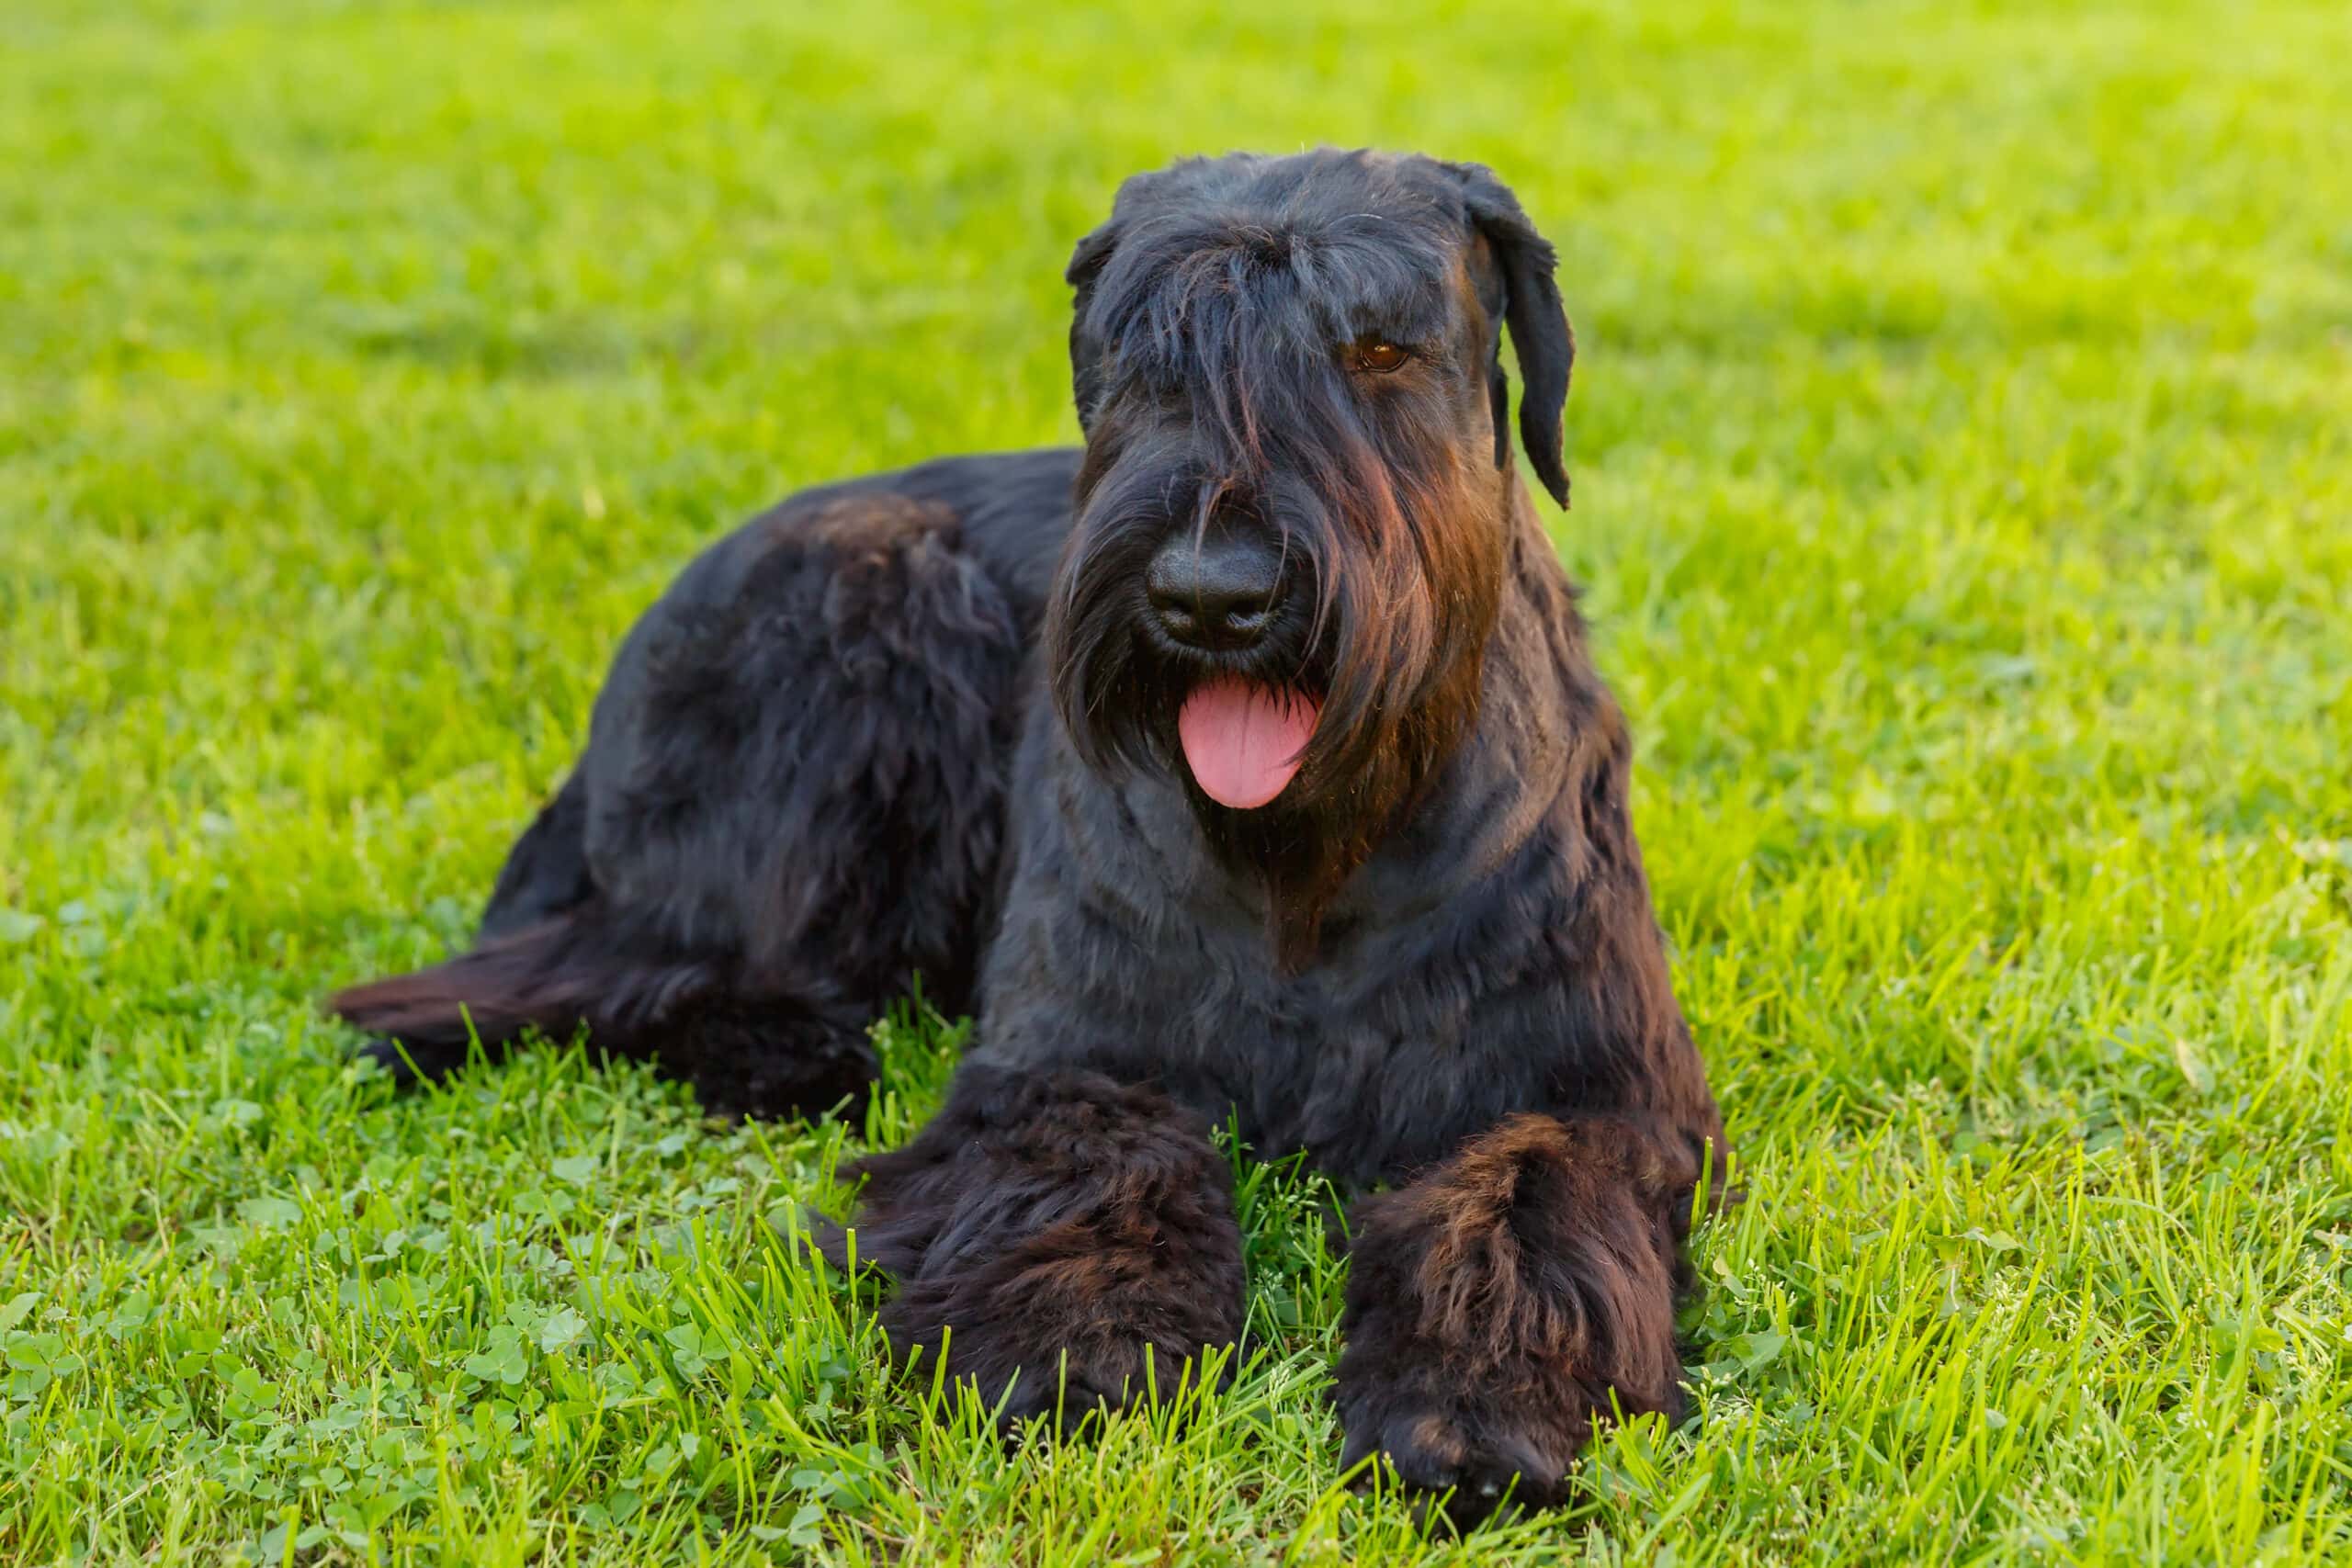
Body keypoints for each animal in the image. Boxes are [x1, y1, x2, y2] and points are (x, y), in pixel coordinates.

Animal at [331, 146, 1731, 1523]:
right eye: (1145, 352)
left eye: (1377, 346)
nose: (1212, 597)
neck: (1307, 865)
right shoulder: (1069, 1053)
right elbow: (1089, 1161)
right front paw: (1064, 1350)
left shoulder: (1597, 1089)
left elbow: (1522, 1200)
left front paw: (1477, 1402)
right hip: (866, 619)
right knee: (572, 974)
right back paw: (784, 1049)